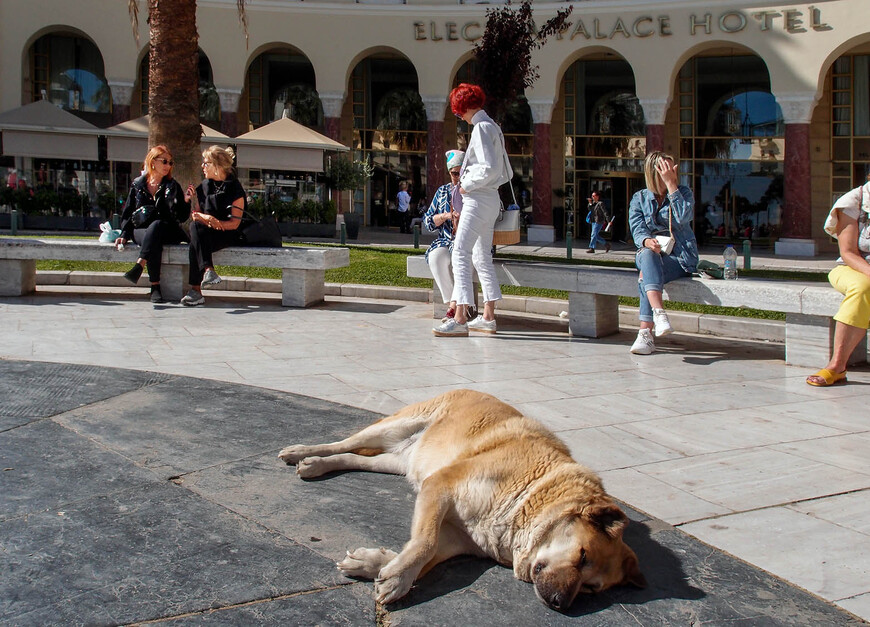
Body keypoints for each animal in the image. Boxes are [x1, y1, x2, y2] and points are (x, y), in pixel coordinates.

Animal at [280, 390, 648, 612]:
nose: (560, 603)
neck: (529, 500)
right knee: (344, 442)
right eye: (583, 556)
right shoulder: (440, 486)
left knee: (354, 457)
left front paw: (378, 565)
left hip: (399, 462)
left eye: (591, 589)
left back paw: (319, 465)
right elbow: (424, 544)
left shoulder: (455, 535)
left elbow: (424, 554)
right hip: (395, 427)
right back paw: (304, 453)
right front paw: (396, 577)